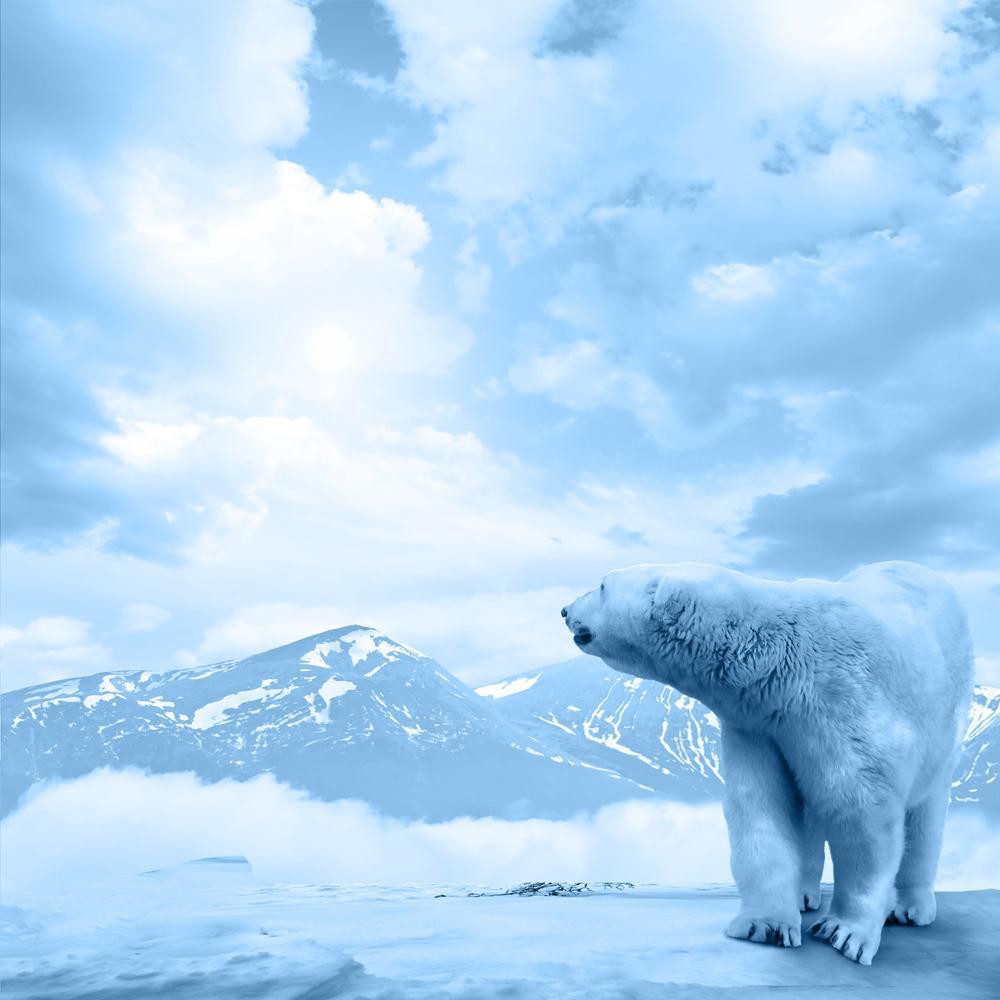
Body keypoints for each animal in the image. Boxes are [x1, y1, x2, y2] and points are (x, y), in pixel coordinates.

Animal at [561, 561, 973, 966]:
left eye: (602, 585)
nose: (565, 610)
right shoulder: (759, 726)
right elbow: (762, 807)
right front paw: (767, 925)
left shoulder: (844, 703)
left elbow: (862, 811)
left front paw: (844, 932)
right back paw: (804, 894)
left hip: (945, 721)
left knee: (924, 816)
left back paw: (910, 908)